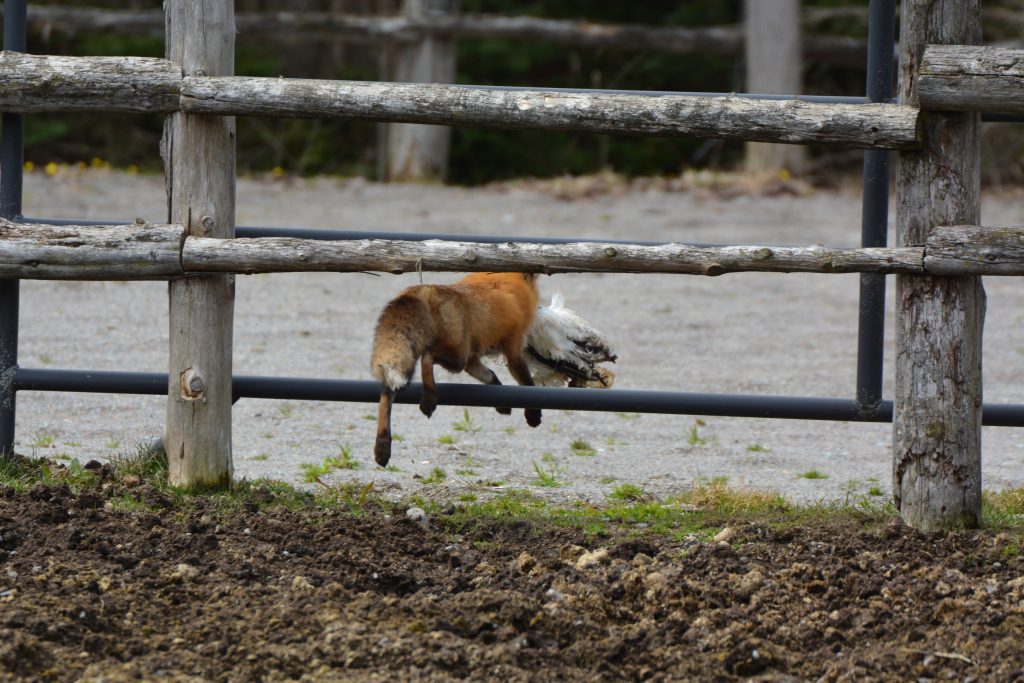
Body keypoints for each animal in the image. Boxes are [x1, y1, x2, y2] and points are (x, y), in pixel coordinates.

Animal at [370, 272, 544, 464]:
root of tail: (423, 290)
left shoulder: (472, 360)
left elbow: (491, 377)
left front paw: (501, 405)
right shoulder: (513, 348)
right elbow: (527, 383)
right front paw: (533, 415)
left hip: (411, 361)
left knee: (386, 395)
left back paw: (382, 446)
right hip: (457, 356)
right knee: (427, 356)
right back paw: (429, 398)